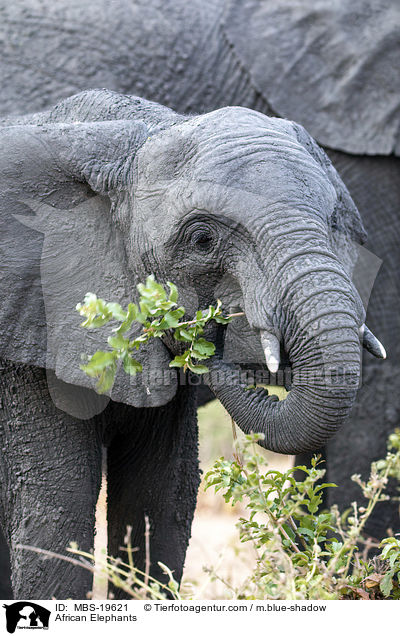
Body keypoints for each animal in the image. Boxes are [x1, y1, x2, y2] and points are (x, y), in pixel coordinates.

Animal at [0, 0, 396, 596]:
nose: (217, 332)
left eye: (335, 222)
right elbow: (55, 520)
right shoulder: (33, 335)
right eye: (202, 239)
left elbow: (161, 508)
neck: (127, 137)